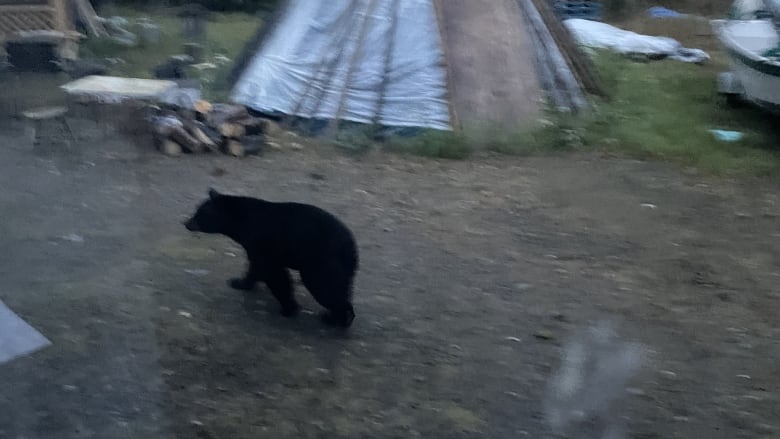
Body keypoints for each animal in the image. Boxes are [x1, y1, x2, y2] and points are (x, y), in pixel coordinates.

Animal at [186, 187, 360, 328]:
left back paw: (335, 319)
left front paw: (289, 308)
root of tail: (351, 246)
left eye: (200, 214)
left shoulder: (262, 243)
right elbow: (255, 267)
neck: (242, 222)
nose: (186, 223)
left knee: (326, 289)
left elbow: (274, 274)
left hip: (321, 262)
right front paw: (240, 282)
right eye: (196, 210)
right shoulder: (255, 248)